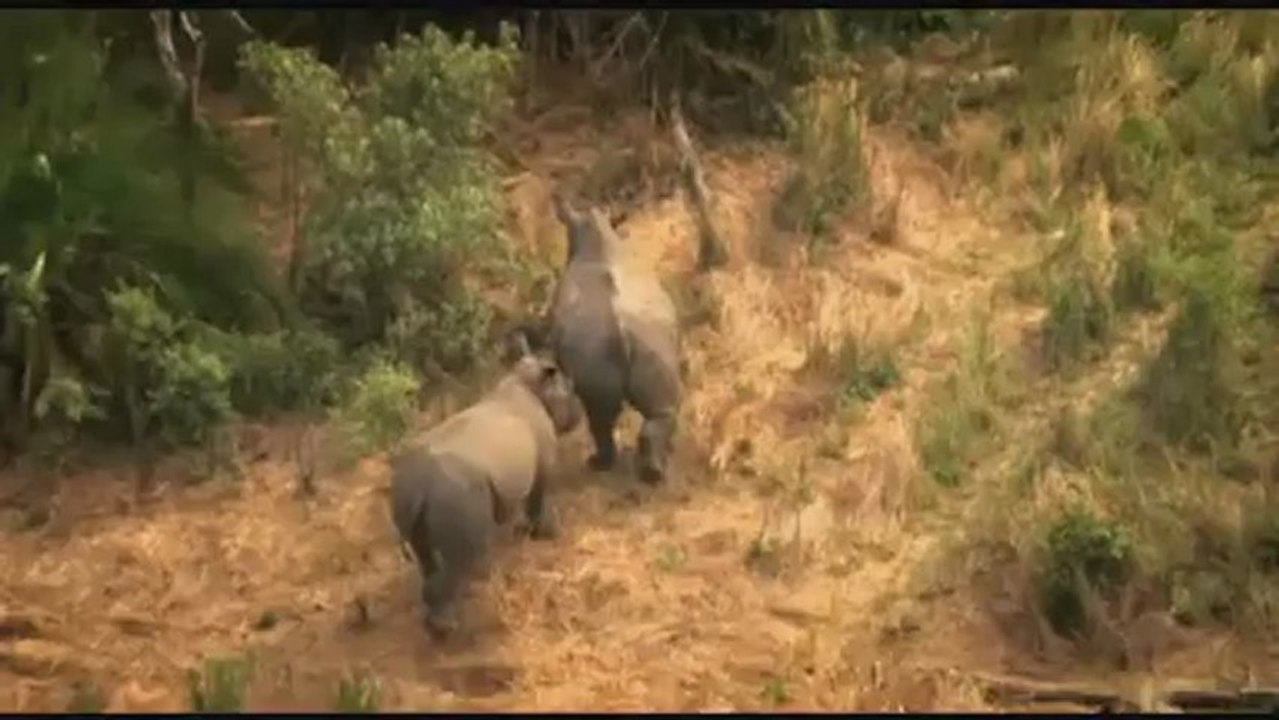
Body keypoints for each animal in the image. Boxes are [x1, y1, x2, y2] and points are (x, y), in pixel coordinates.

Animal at [388, 332, 583, 637]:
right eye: (570, 392)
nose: (578, 417)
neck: (530, 382)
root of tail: (419, 486)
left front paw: (522, 531)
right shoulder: (543, 464)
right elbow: (537, 497)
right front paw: (546, 534)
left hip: (407, 494)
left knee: (424, 553)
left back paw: (437, 622)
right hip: (455, 494)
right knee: (463, 556)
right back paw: (454, 623)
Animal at [541, 193, 683, 484]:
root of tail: (623, 332)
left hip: (593, 352)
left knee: (599, 418)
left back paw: (598, 464)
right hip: (653, 342)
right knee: (662, 408)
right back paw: (654, 472)